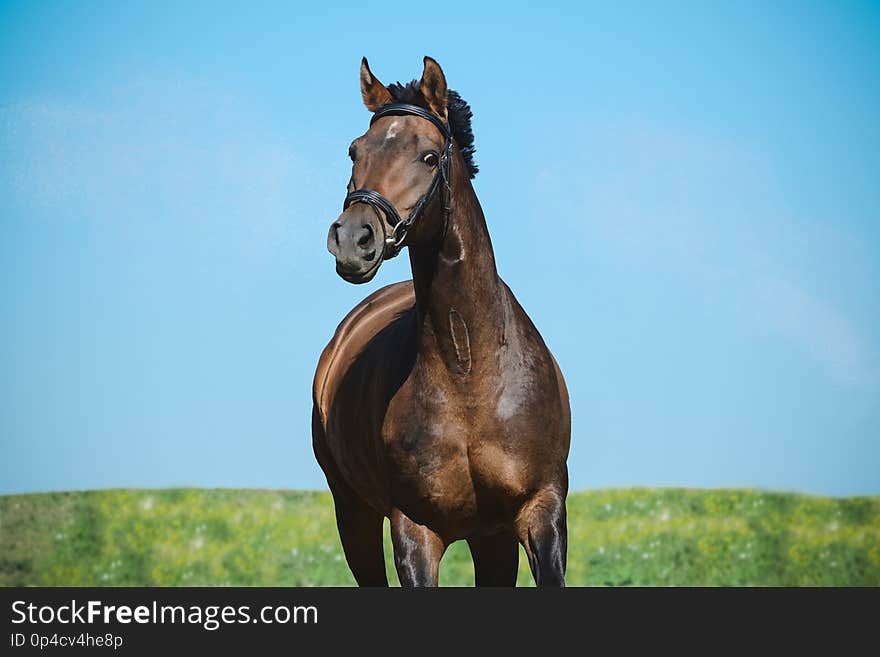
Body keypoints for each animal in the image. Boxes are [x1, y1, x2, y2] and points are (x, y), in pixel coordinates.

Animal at [310, 59, 572, 588]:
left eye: (429, 157)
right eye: (355, 150)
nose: (353, 240)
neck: (468, 369)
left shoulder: (542, 510)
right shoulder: (415, 529)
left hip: (492, 539)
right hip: (353, 515)